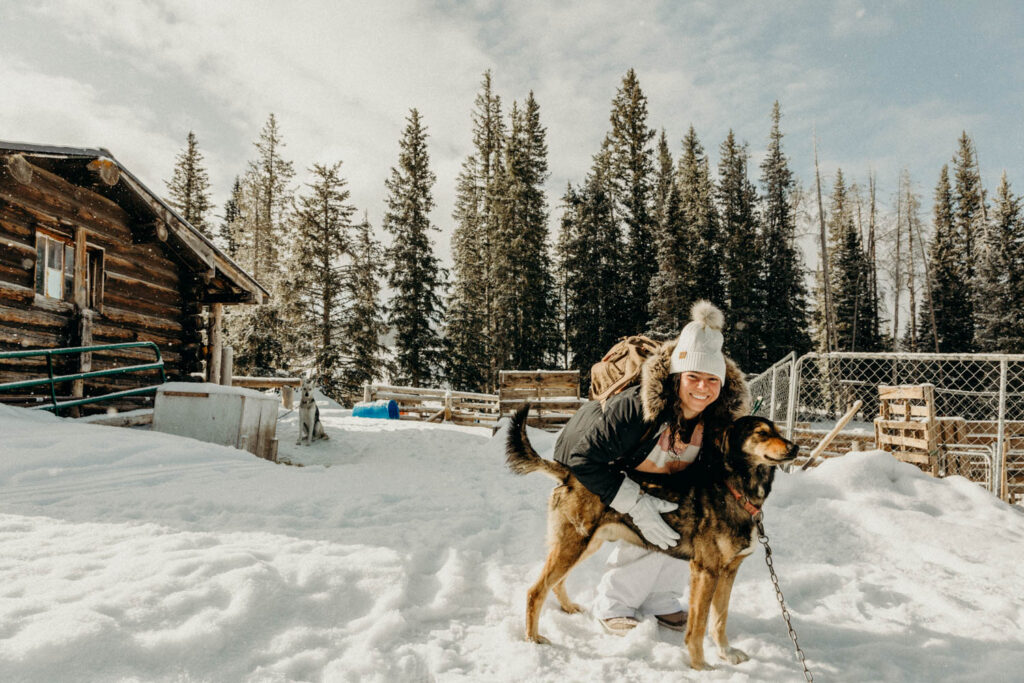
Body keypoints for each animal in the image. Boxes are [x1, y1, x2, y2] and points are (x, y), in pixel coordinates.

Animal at [503, 409, 798, 671]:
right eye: (761, 433)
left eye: (779, 431)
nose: (795, 447)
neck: (735, 489)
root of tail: (569, 474)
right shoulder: (706, 571)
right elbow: (699, 626)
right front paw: (700, 666)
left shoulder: (728, 571)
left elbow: (719, 620)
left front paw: (726, 653)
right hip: (573, 545)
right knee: (535, 591)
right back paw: (532, 638)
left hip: (584, 545)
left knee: (556, 583)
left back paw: (568, 608)